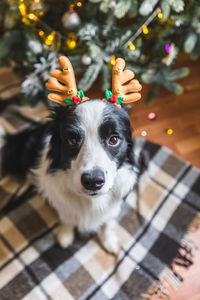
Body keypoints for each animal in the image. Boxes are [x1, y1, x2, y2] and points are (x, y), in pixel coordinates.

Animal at [0, 99, 139, 254]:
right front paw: (65, 235)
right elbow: (67, 217)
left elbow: (109, 220)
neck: (90, 200)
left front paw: (109, 240)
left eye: (113, 139)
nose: (93, 181)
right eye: (71, 140)